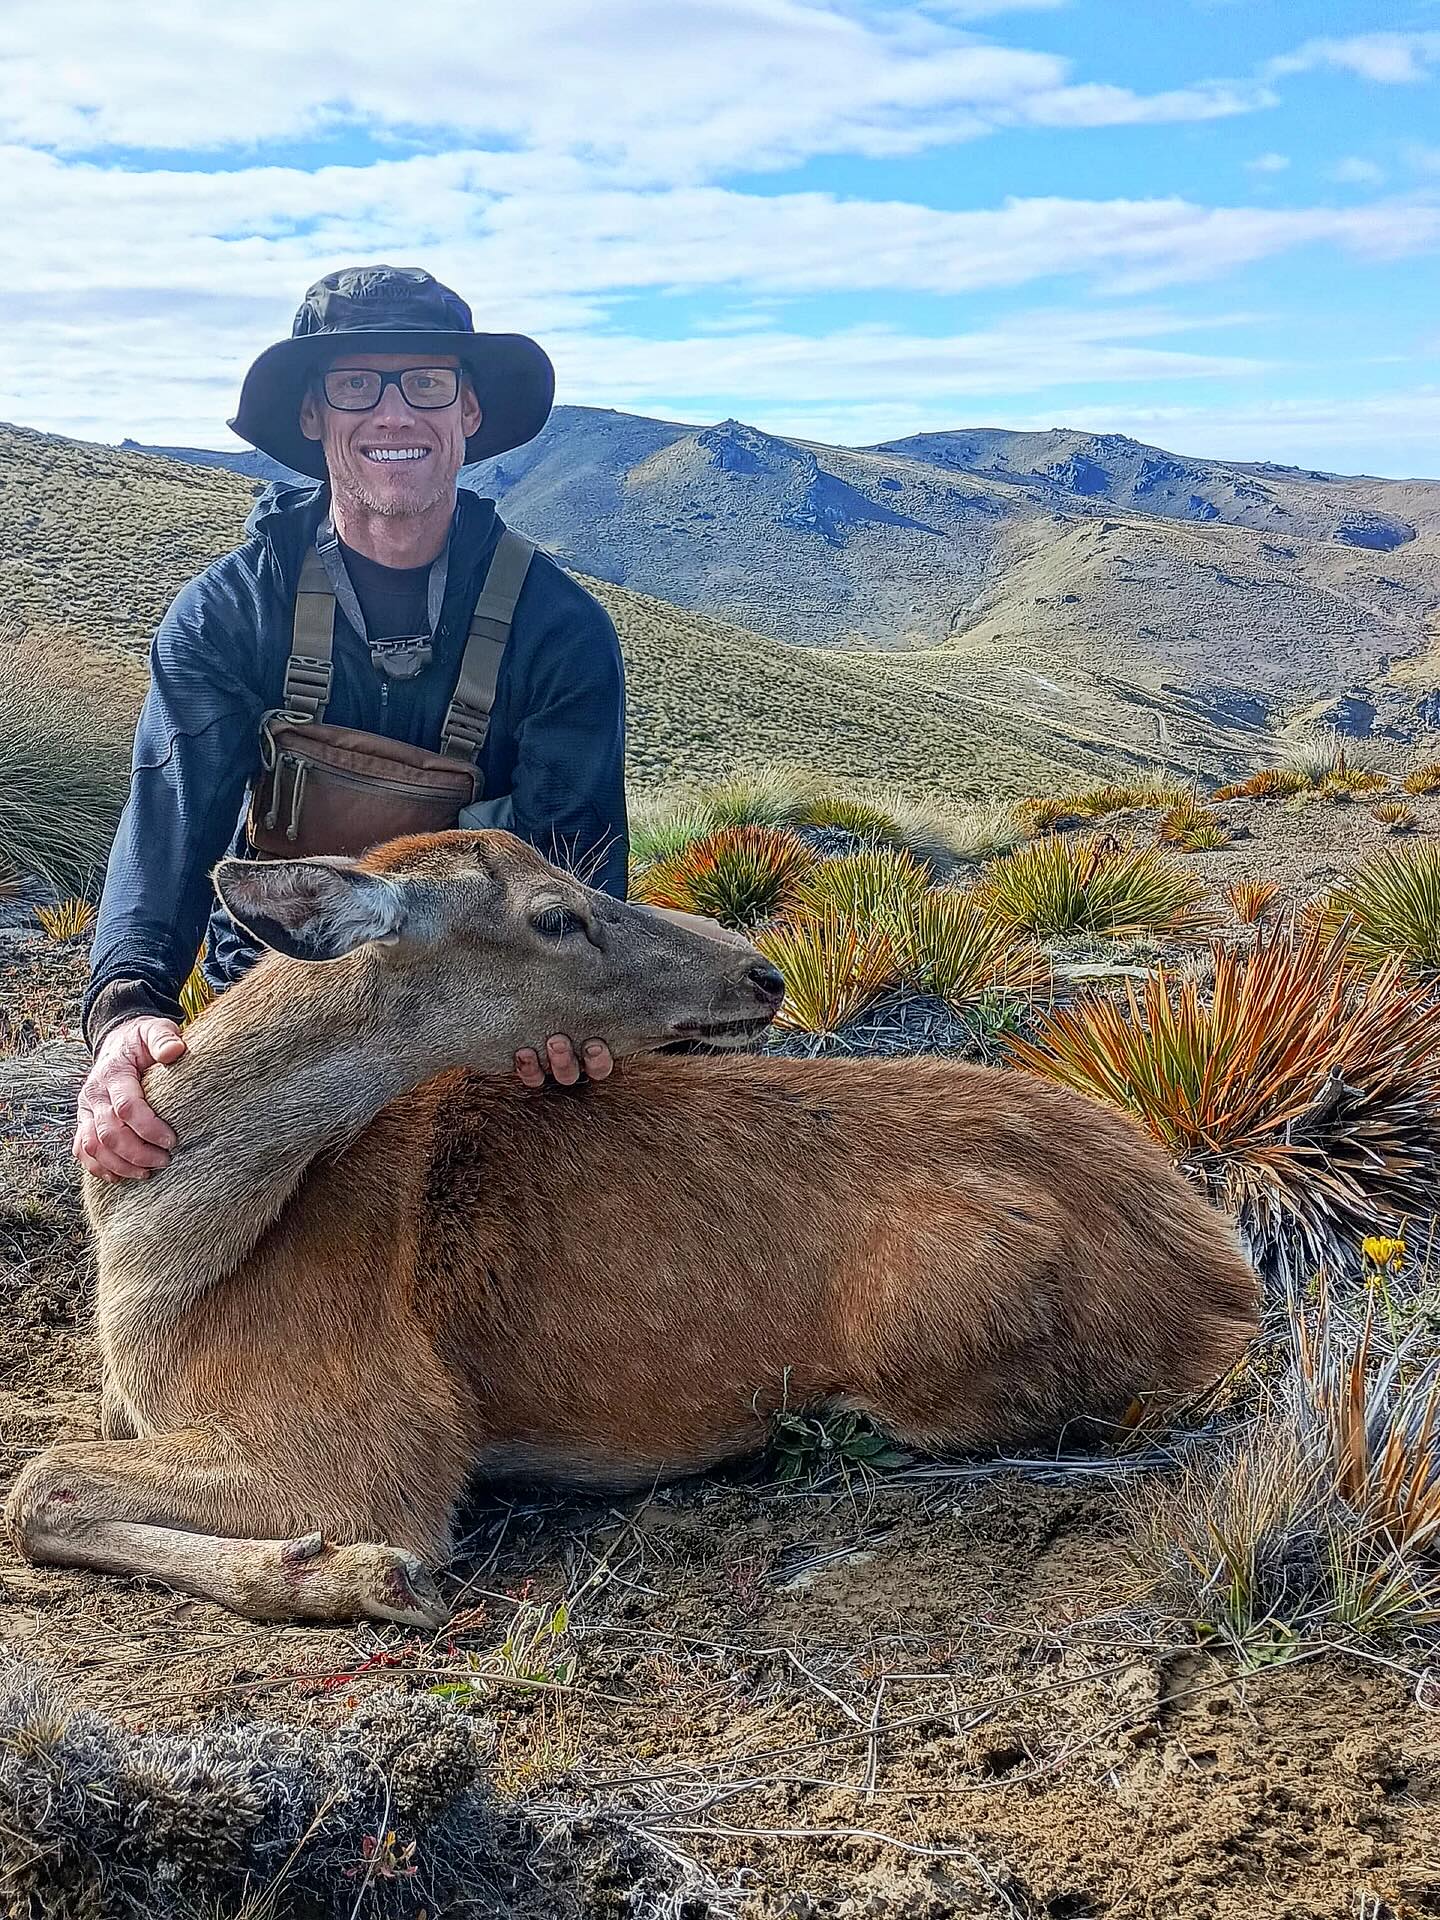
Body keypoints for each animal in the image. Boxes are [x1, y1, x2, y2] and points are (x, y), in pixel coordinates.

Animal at [5, 830, 1257, 1629]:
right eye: (555, 913)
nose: (763, 970)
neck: (173, 1265)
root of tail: (1232, 1282)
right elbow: (49, 1478)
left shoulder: (370, 1436)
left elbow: (40, 1485)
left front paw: (356, 1570)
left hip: (943, 1323)